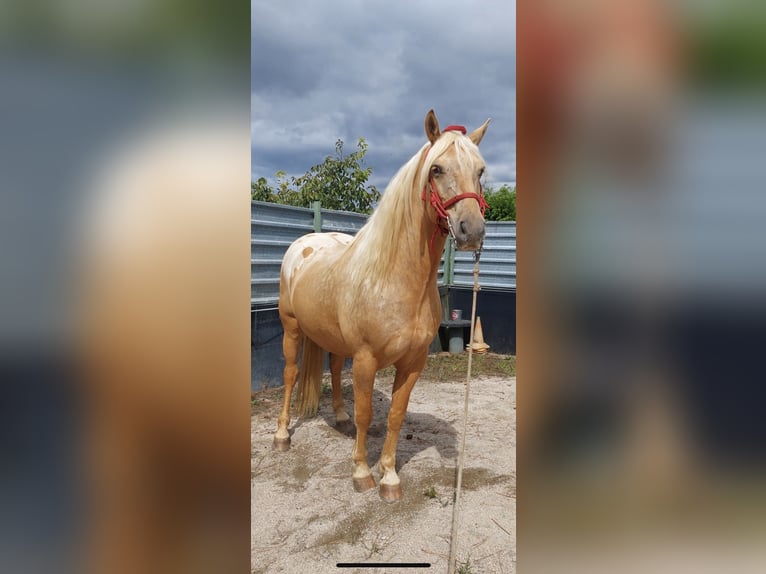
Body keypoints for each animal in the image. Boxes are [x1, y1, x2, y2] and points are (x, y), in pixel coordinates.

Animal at [274, 109, 492, 504]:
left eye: (480, 170)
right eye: (436, 169)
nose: (472, 231)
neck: (395, 279)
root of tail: (304, 242)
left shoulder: (413, 363)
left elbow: (394, 415)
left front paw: (389, 477)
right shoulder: (366, 359)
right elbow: (365, 414)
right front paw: (362, 473)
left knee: (333, 368)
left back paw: (339, 418)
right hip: (292, 329)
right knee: (290, 374)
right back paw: (282, 436)